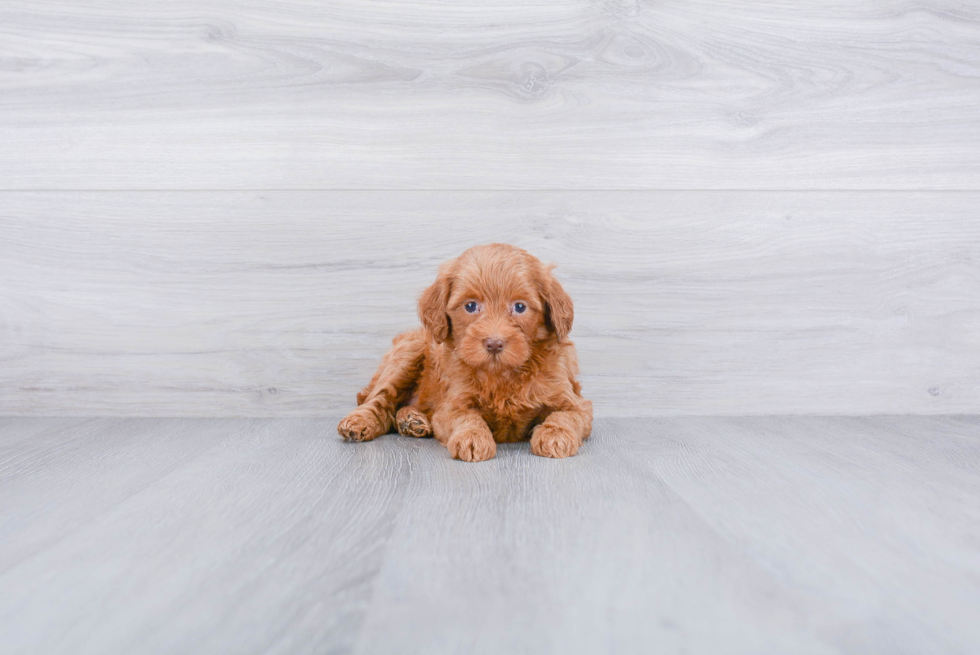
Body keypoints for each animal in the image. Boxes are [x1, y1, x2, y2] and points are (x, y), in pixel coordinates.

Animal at [336, 243, 588, 464]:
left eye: (519, 307)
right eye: (470, 306)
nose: (494, 343)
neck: (501, 375)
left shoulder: (574, 400)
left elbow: (566, 415)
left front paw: (555, 435)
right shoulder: (452, 404)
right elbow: (466, 417)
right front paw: (472, 438)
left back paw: (412, 419)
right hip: (409, 350)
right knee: (378, 398)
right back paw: (361, 421)